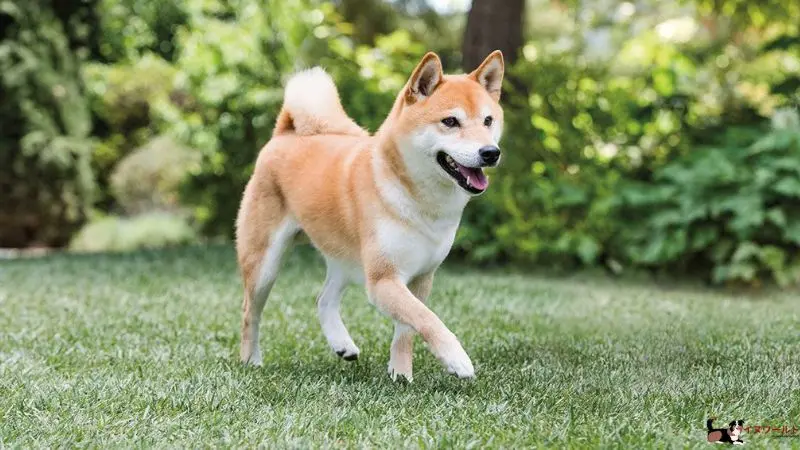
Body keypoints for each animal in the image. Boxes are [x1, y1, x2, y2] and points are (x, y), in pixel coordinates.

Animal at [234, 50, 504, 380]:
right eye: (450, 121)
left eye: (488, 121)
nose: (490, 152)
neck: (420, 201)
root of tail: (284, 134)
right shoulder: (383, 279)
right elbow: (426, 319)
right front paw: (456, 358)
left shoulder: (420, 278)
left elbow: (406, 329)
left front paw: (401, 374)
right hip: (265, 264)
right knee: (250, 312)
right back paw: (251, 361)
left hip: (346, 259)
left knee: (323, 299)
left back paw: (342, 344)